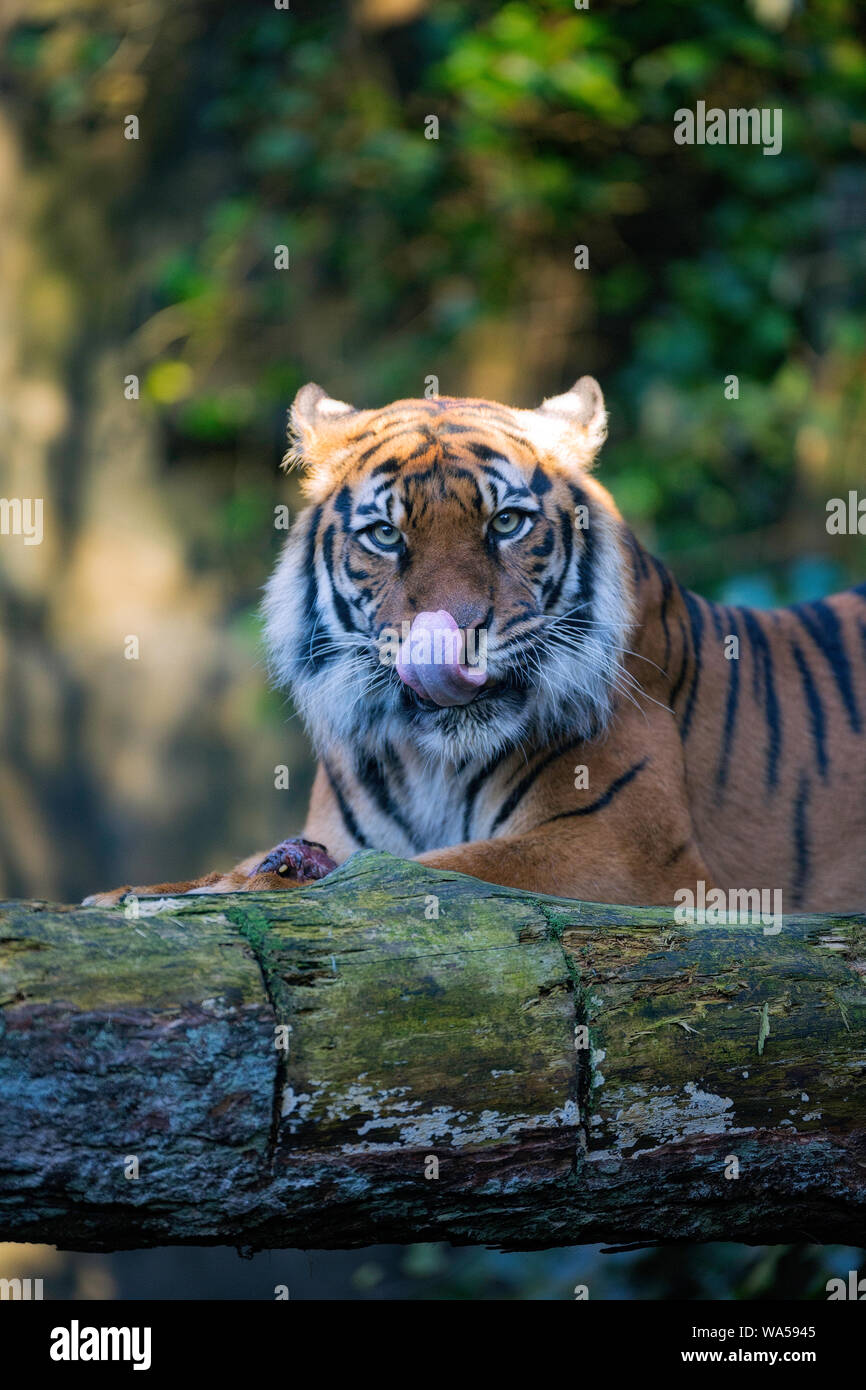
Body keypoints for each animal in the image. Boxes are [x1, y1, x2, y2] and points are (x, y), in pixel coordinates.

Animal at [86, 375, 866, 911]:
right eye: (386, 534)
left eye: (507, 523)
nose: (453, 639)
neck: (429, 760)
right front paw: (134, 892)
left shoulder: (623, 852)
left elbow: (433, 870)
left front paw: (236, 886)